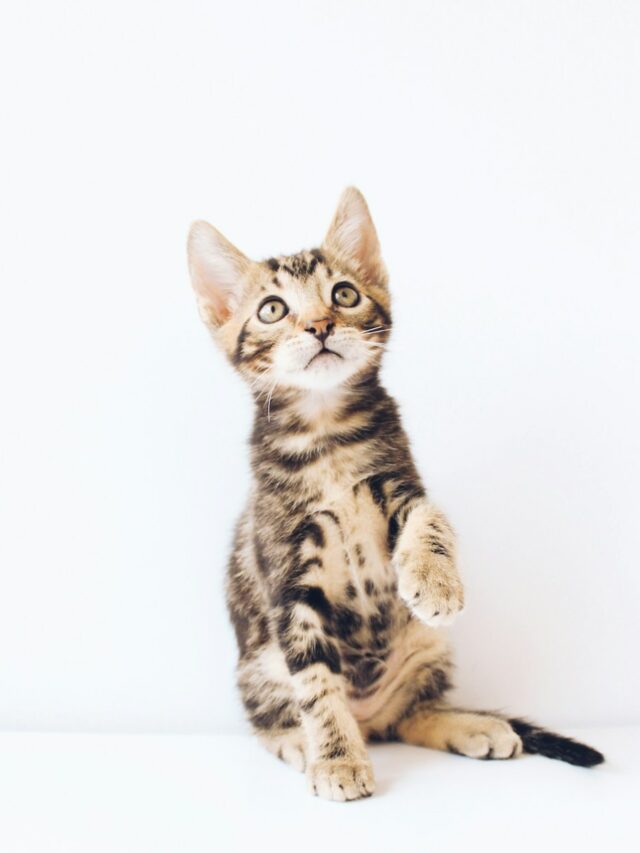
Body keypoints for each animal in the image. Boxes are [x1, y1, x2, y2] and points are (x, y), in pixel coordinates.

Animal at [186, 186, 604, 800]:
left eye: (344, 293)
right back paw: (302, 743)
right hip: (257, 667)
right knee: (277, 715)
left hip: (429, 649)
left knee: (411, 715)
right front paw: (337, 760)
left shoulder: (400, 484)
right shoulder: (287, 572)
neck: (327, 435)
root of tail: (371, 721)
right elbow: (317, 682)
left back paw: (472, 726)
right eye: (272, 309)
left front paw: (434, 581)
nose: (319, 325)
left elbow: (432, 519)